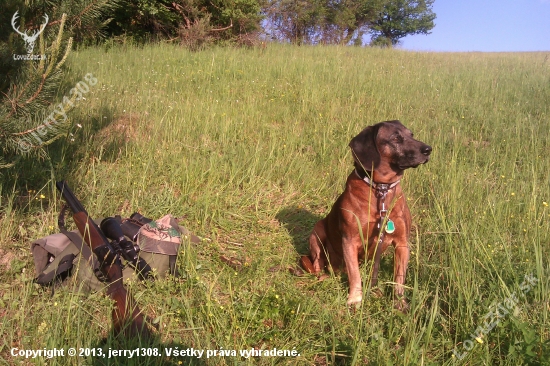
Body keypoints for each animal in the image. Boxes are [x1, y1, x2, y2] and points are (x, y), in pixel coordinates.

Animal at [306, 121, 432, 310]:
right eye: (396, 138)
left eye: (411, 134)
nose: (428, 149)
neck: (381, 190)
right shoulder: (349, 241)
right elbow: (355, 275)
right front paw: (355, 299)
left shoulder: (402, 243)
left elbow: (399, 278)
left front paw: (399, 302)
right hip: (317, 231)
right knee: (317, 264)